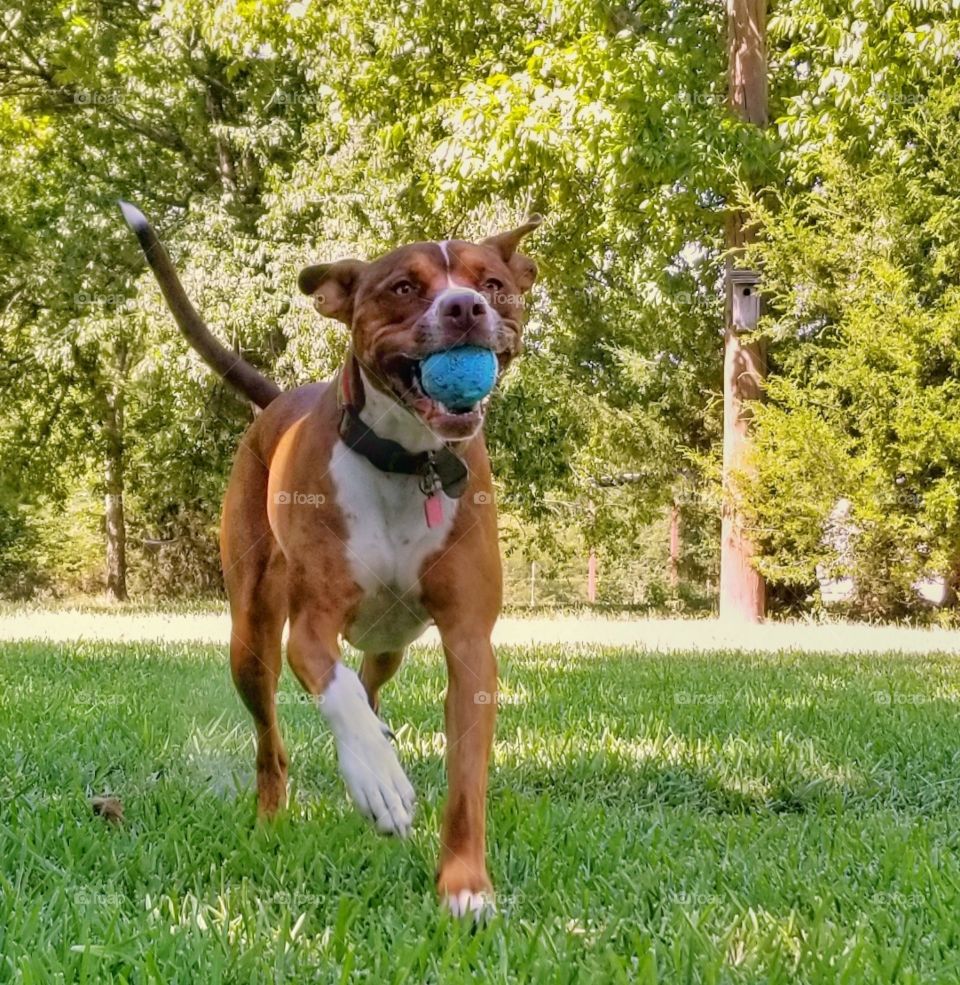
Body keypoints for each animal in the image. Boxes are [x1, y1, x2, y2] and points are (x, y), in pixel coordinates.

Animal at [120, 200, 540, 916]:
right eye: (403, 287)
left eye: (492, 283)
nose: (464, 307)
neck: (407, 463)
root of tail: (280, 400)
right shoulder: (310, 626)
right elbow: (335, 691)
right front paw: (377, 780)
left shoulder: (469, 642)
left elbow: (466, 779)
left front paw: (465, 888)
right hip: (251, 637)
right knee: (274, 743)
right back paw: (277, 816)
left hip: (392, 638)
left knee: (372, 678)